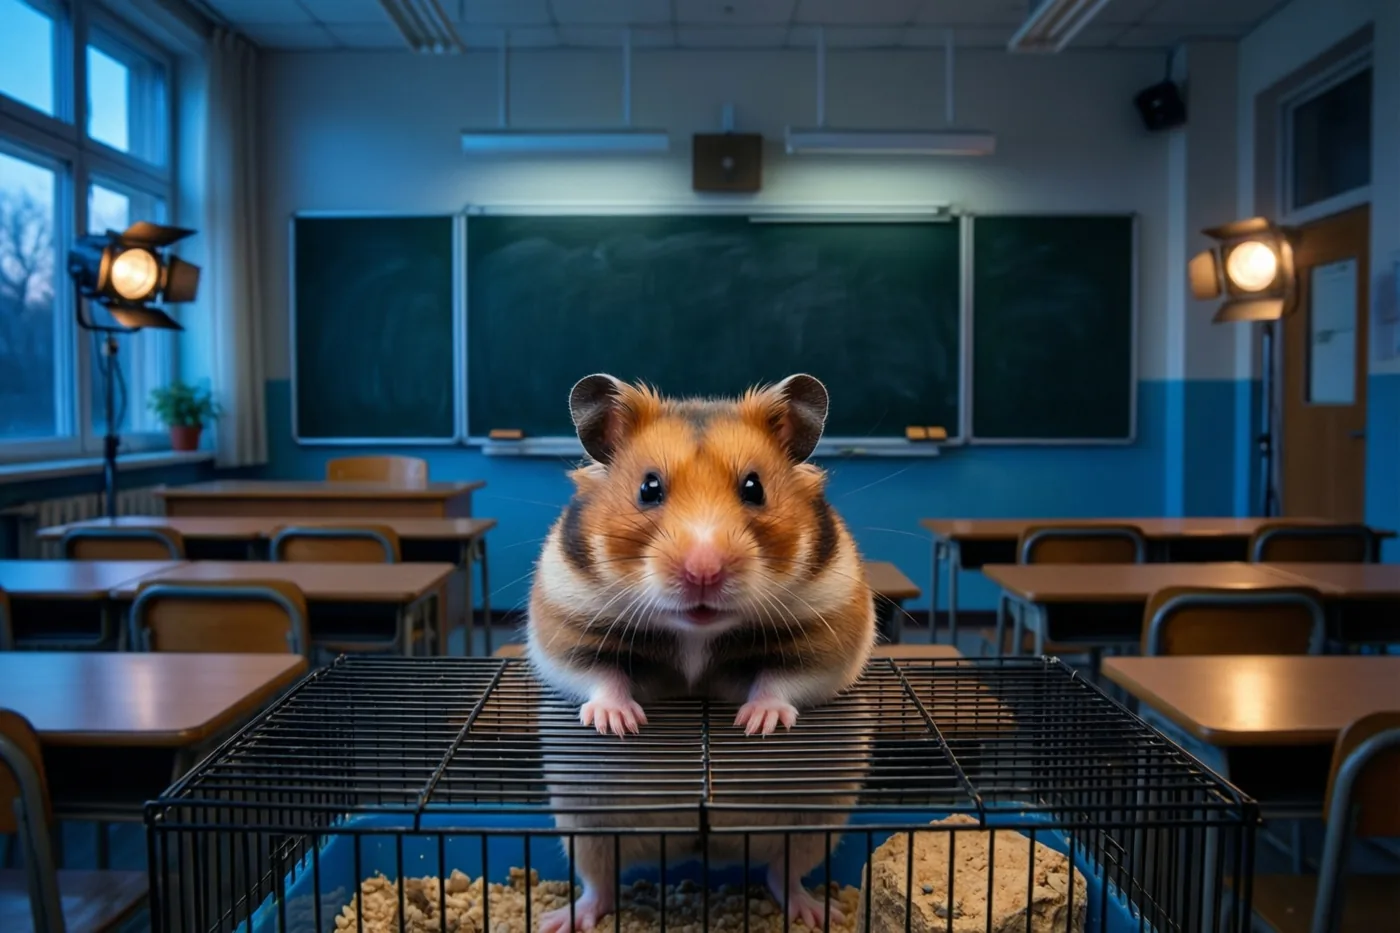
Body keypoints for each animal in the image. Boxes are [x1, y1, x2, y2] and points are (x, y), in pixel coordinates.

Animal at [526, 373, 878, 932]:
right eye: (648, 488)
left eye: (754, 488)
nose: (703, 571)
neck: (696, 632)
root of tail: (700, 844)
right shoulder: (564, 620)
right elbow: (599, 674)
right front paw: (620, 722)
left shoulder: (832, 626)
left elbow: (783, 678)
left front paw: (755, 723)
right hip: (586, 822)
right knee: (600, 881)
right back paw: (562, 920)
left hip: (814, 820)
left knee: (783, 873)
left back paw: (816, 913)